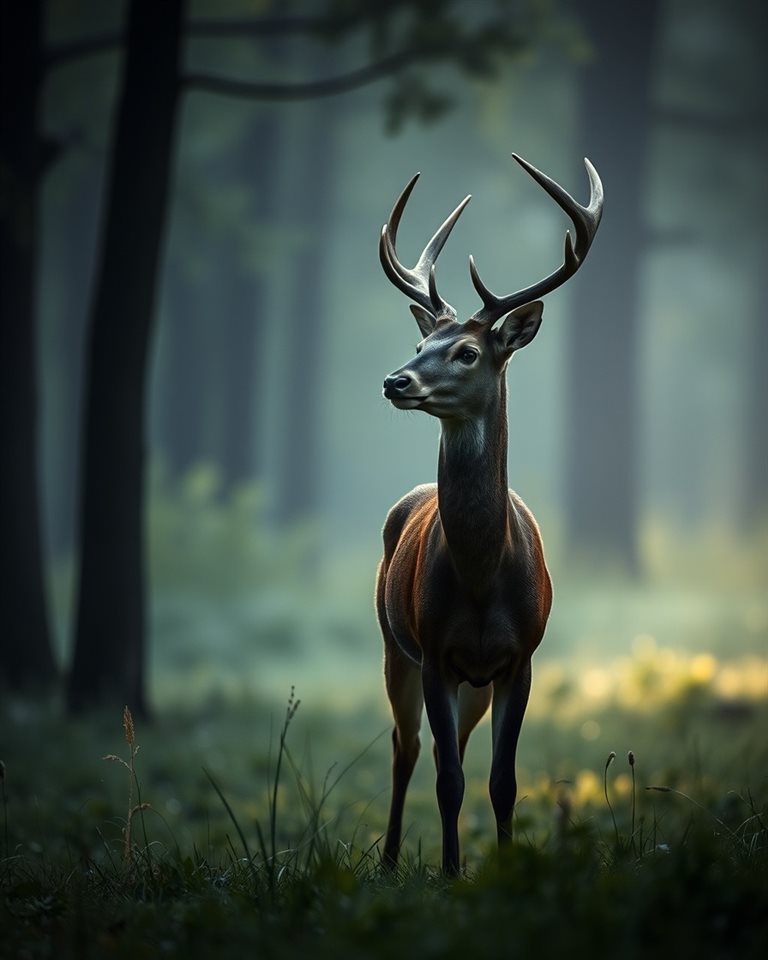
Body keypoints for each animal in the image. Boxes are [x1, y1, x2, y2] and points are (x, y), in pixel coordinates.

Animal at [375, 153, 603, 874]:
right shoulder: (436, 651)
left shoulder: (520, 656)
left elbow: (502, 780)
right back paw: (389, 861)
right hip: (395, 647)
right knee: (406, 750)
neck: (481, 577)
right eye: (422, 344)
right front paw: (451, 874)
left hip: (471, 680)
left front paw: (499, 867)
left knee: (450, 752)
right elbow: (447, 779)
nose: (396, 379)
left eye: (468, 352)